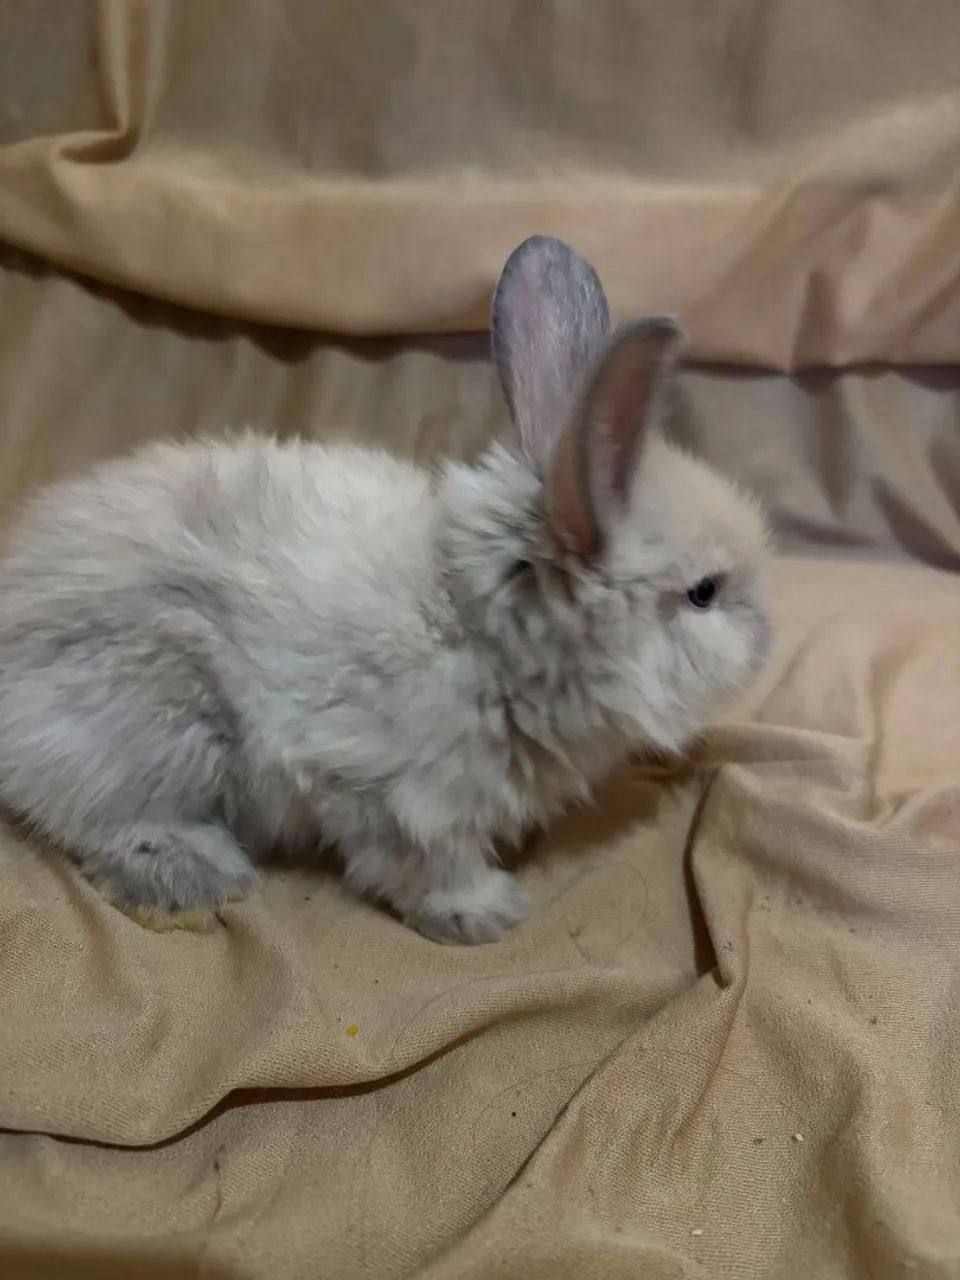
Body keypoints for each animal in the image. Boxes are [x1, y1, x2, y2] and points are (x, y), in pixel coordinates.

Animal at [0, 235, 771, 943]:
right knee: (92, 817)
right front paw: (482, 914)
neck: (483, 635)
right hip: (161, 725)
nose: (768, 639)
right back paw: (198, 873)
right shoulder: (391, 794)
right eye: (704, 592)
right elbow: (421, 863)